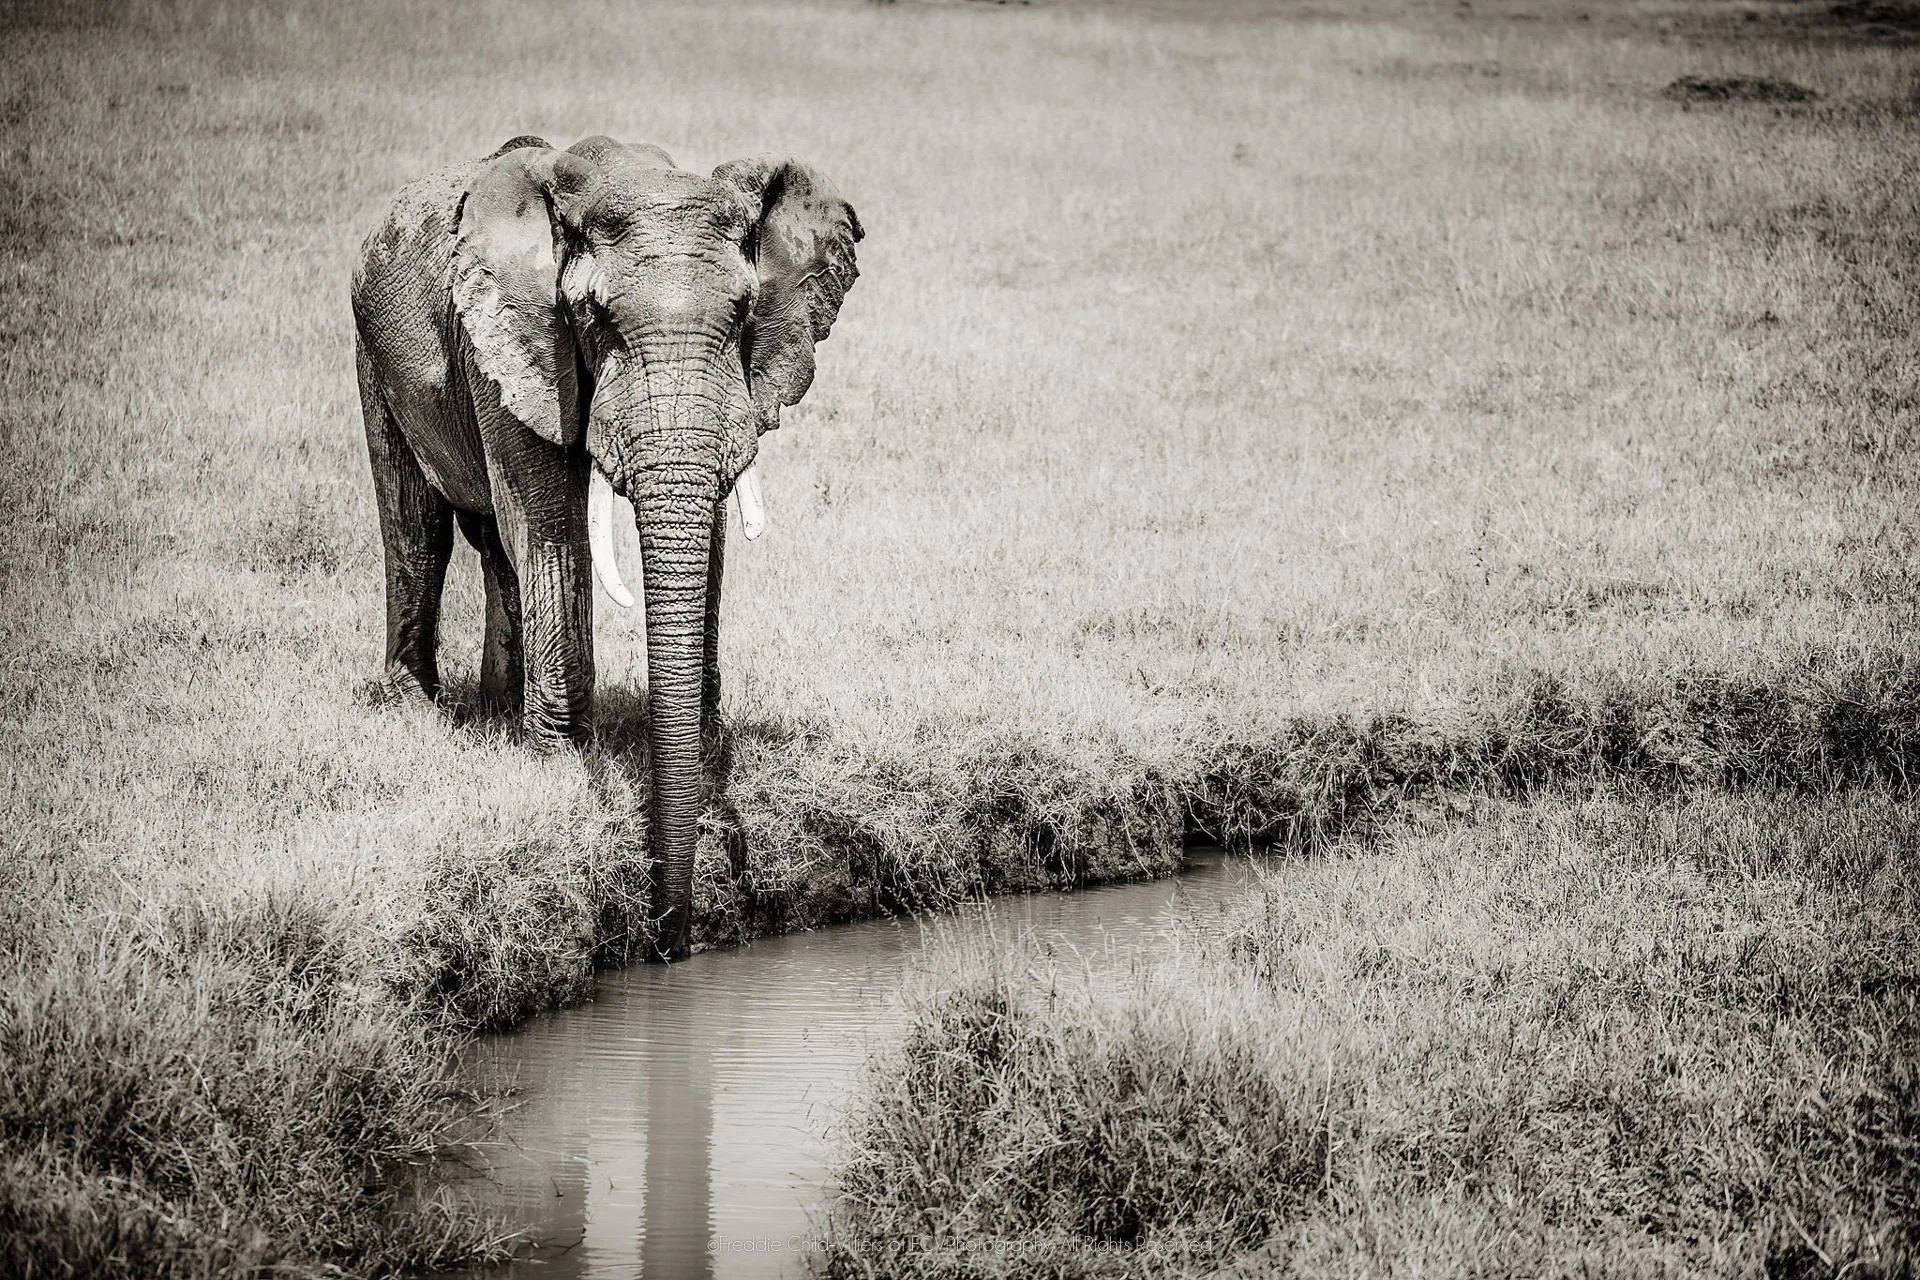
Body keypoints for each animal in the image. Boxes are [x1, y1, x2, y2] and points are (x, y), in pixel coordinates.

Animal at [349, 134, 863, 958]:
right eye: (593, 316)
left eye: (745, 311)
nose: (670, 941)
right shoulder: (517, 340)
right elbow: (551, 521)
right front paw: (560, 767)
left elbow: (708, 533)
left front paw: (706, 755)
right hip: (372, 346)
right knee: (416, 525)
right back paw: (415, 708)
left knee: (490, 546)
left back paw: (498, 710)